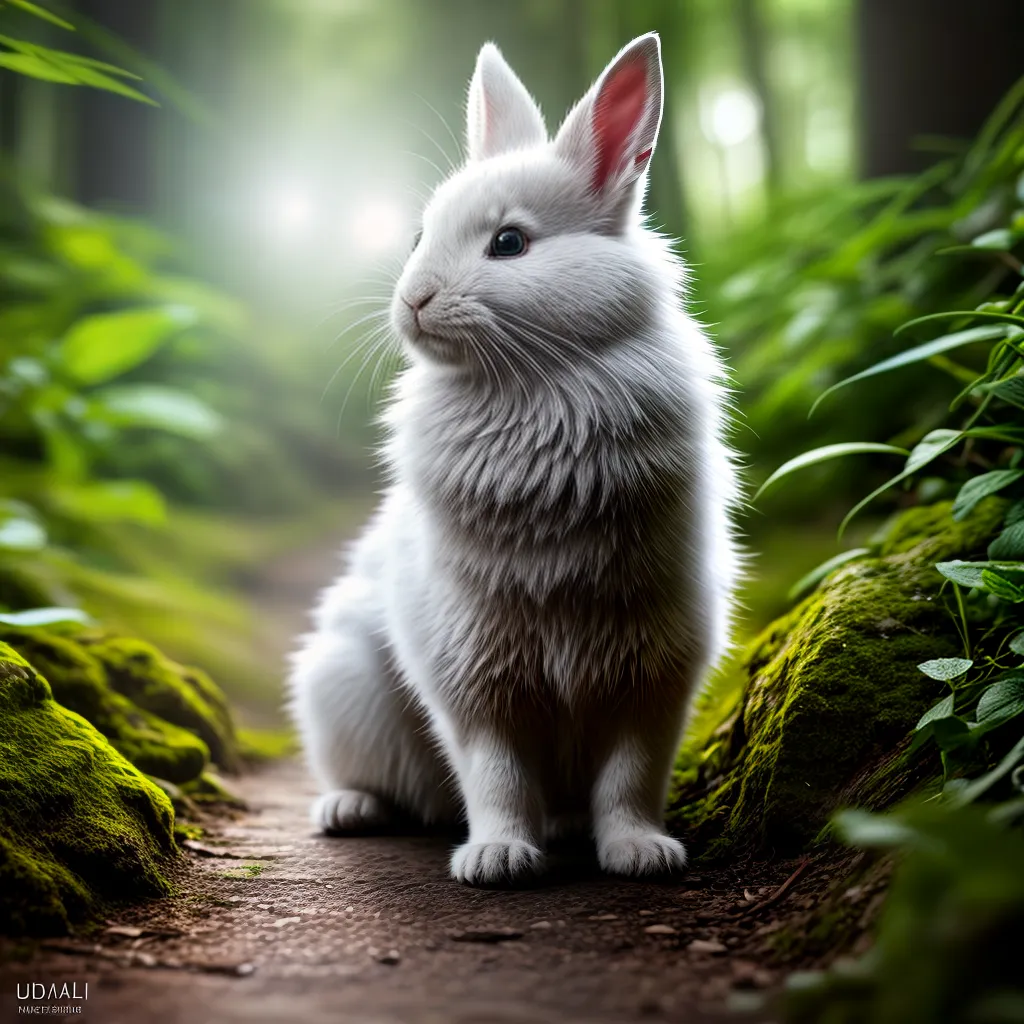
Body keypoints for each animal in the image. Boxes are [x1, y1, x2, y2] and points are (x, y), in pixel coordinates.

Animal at [288, 31, 742, 886]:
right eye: (419, 235)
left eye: (509, 243)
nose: (413, 301)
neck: (533, 386)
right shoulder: (470, 670)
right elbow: (494, 771)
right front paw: (497, 859)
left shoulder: (656, 670)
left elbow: (633, 774)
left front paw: (641, 854)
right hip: (340, 688)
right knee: (370, 780)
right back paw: (349, 810)